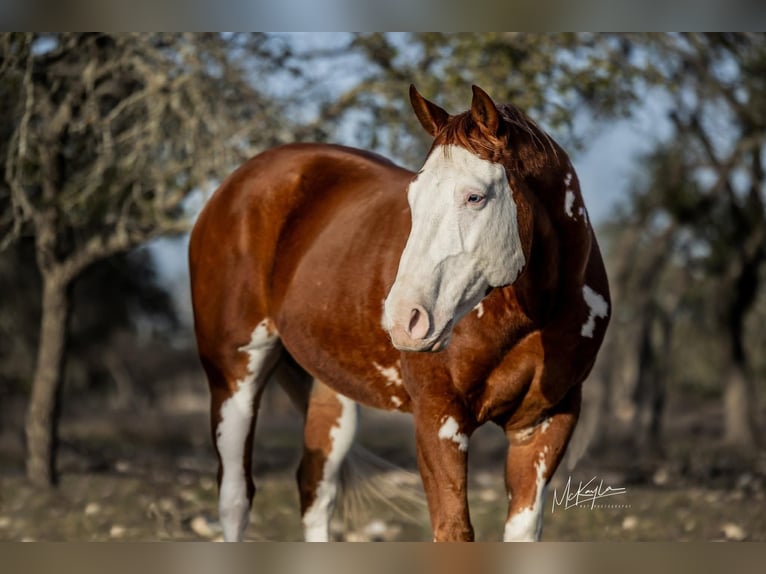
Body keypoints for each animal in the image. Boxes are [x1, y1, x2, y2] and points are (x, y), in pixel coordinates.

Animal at [188, 83, 612, 544]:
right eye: (413, 198)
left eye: (475, 196)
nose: (403, 320)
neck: (536, 314)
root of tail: (234, 185)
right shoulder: (438, 419)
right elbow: (453, 530)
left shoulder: (545, 425)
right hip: (234, 375)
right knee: (235, 497)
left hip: (329, 389)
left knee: (315, 489)